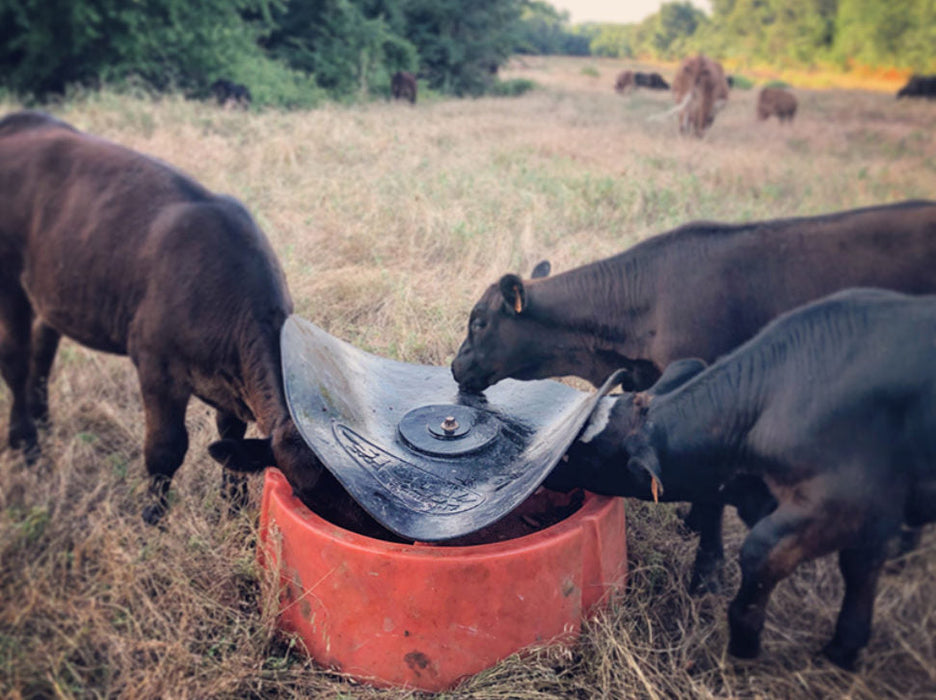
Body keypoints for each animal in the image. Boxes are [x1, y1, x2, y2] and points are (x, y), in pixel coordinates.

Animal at [0, 109, 382, 532]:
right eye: (308, 494)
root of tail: (21, 122)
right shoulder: (156, 366)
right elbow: (165, 447)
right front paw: (153, 517)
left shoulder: (230, 381)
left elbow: (231, 436)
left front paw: (233, 505)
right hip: (8, 278)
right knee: (16, 360)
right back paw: (26, 444)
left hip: (53, 286)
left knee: (43, 348)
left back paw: (43, 421)